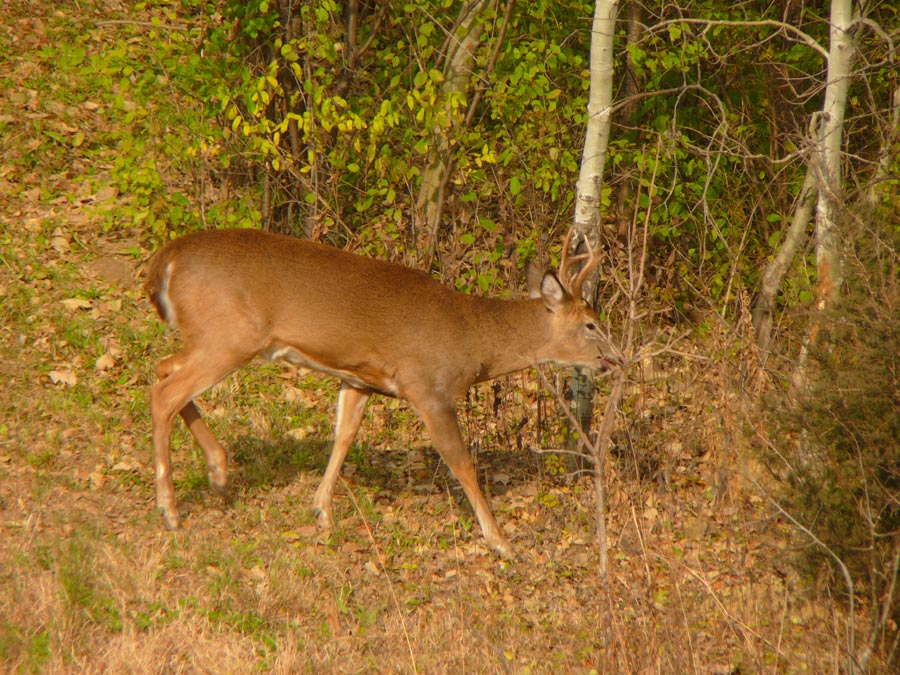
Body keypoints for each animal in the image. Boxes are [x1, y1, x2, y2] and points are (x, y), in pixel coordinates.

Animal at [144, 227, 620, 559]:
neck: (472, 341)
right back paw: (170, 510)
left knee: (163, 370)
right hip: (230, 336)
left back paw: (219, 472)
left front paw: (321, 511)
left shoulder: (359, 379)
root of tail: (166, 259)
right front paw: (500, 541)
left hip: (211, 339)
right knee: (164, 392)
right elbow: (463, 463)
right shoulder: (428, 387)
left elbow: (343, 436)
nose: (614, 360)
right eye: (591, 324)